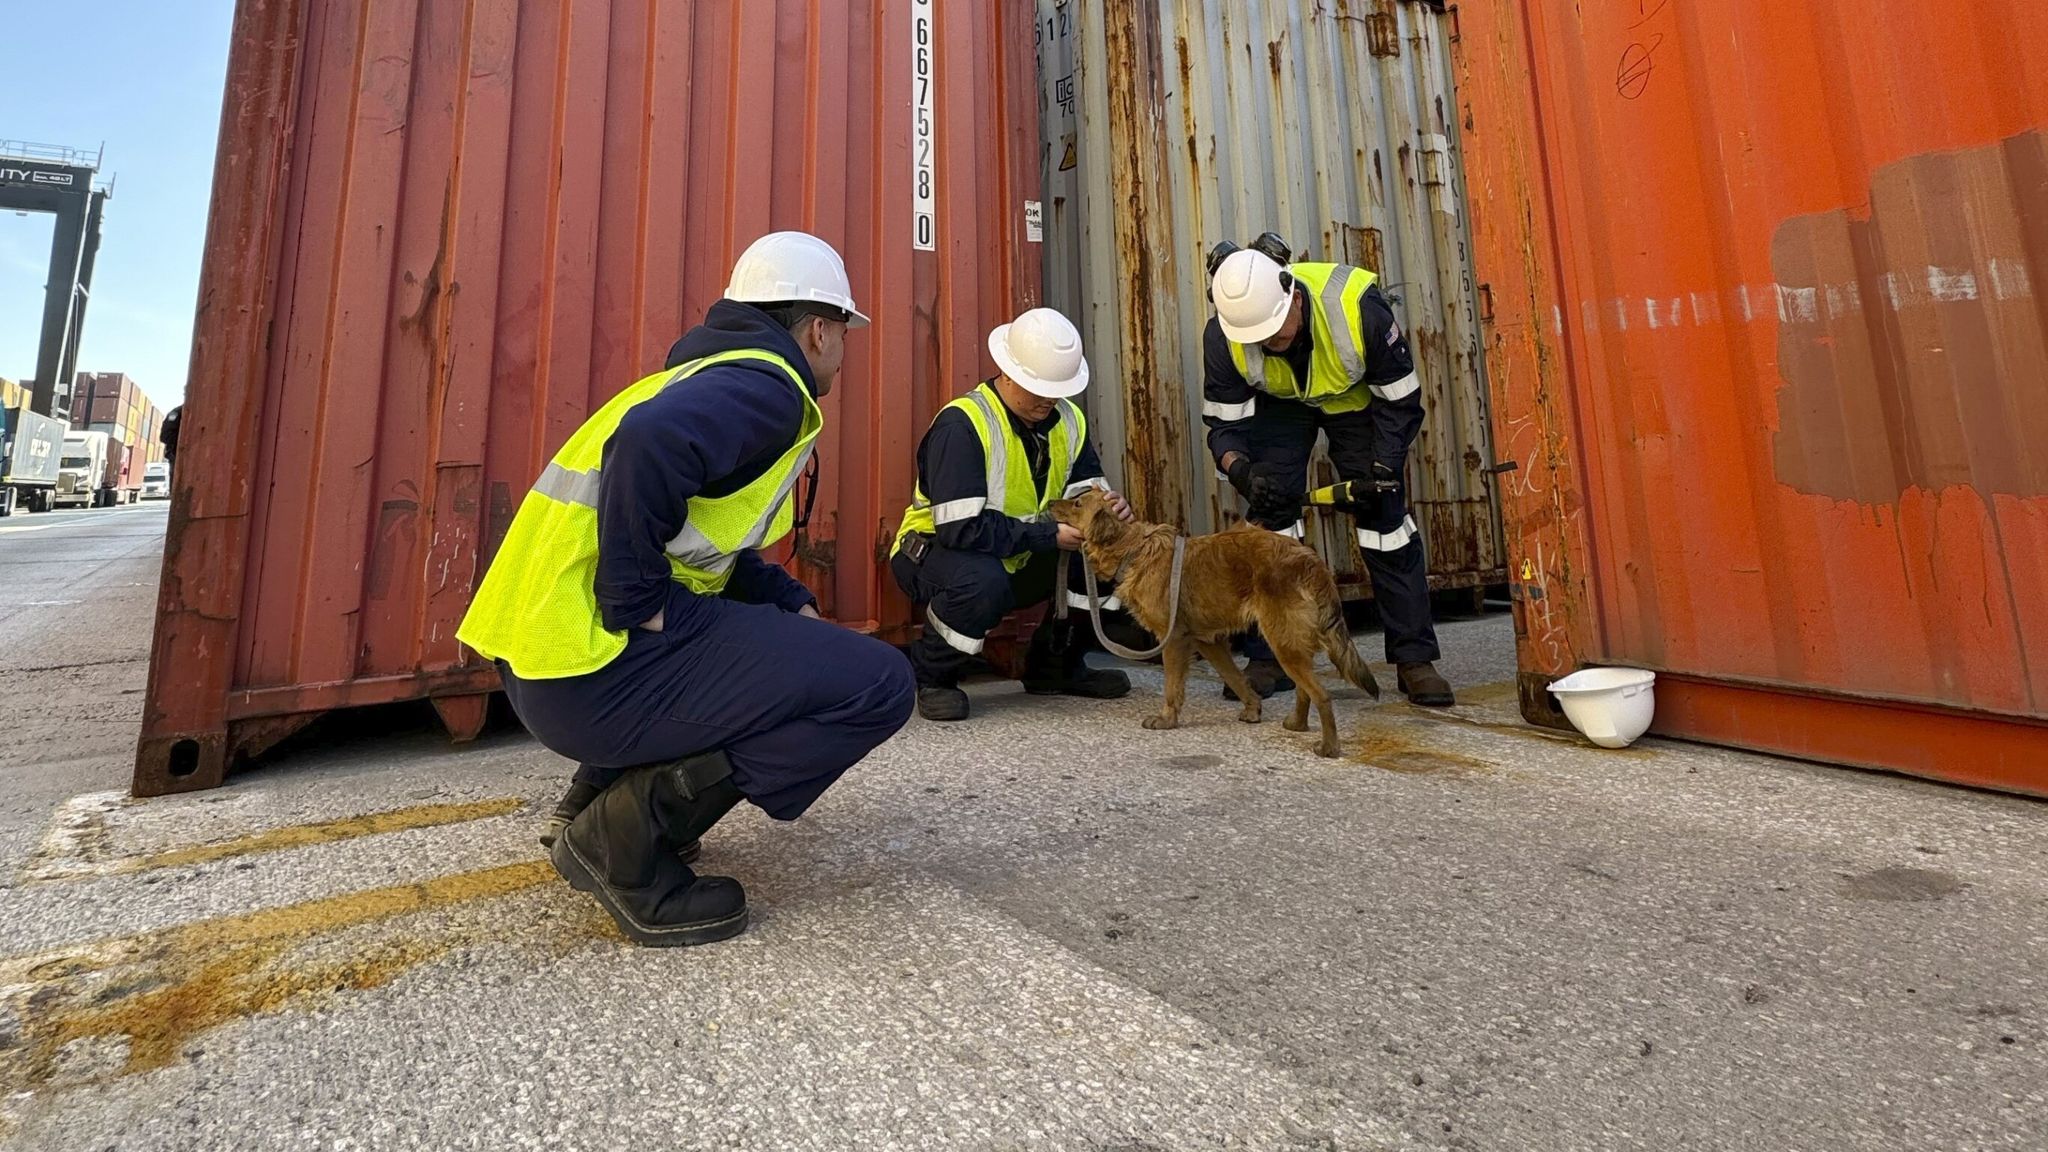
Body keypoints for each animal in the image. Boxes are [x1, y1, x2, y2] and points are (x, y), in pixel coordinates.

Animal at [1048, 483, 1384, 754]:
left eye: (1078, 504)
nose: (1050, 502)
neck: (1134, 549)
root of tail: (1311, 560)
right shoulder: (1210, 641)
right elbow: (1235, 678)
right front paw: (1253, 709)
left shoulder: (1174, 640)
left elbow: (1172, 686)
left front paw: (1166, 719)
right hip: (1290, 642)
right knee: (1305, 688)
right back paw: (1297, 724)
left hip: (1282, 641)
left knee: (1321, 694)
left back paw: (1329, 747)